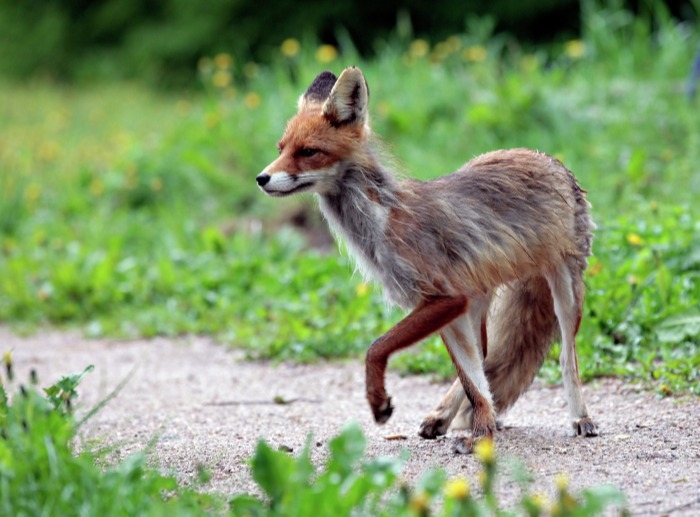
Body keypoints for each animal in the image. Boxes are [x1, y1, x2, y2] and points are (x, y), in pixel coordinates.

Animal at [258, 65, 600, 452]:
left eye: (308, 152)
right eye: (281, 148)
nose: (262, 178)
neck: (382, 222)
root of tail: (547, 157)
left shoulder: (446, 298)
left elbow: (376, 348)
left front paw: (381, 402)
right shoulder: (447, 305)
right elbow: (472, 381)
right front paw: (482, 433)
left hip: (565, 291)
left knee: (566, 357)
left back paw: (580, 417)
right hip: (479, 300)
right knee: (484, 357)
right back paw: (447, 417)